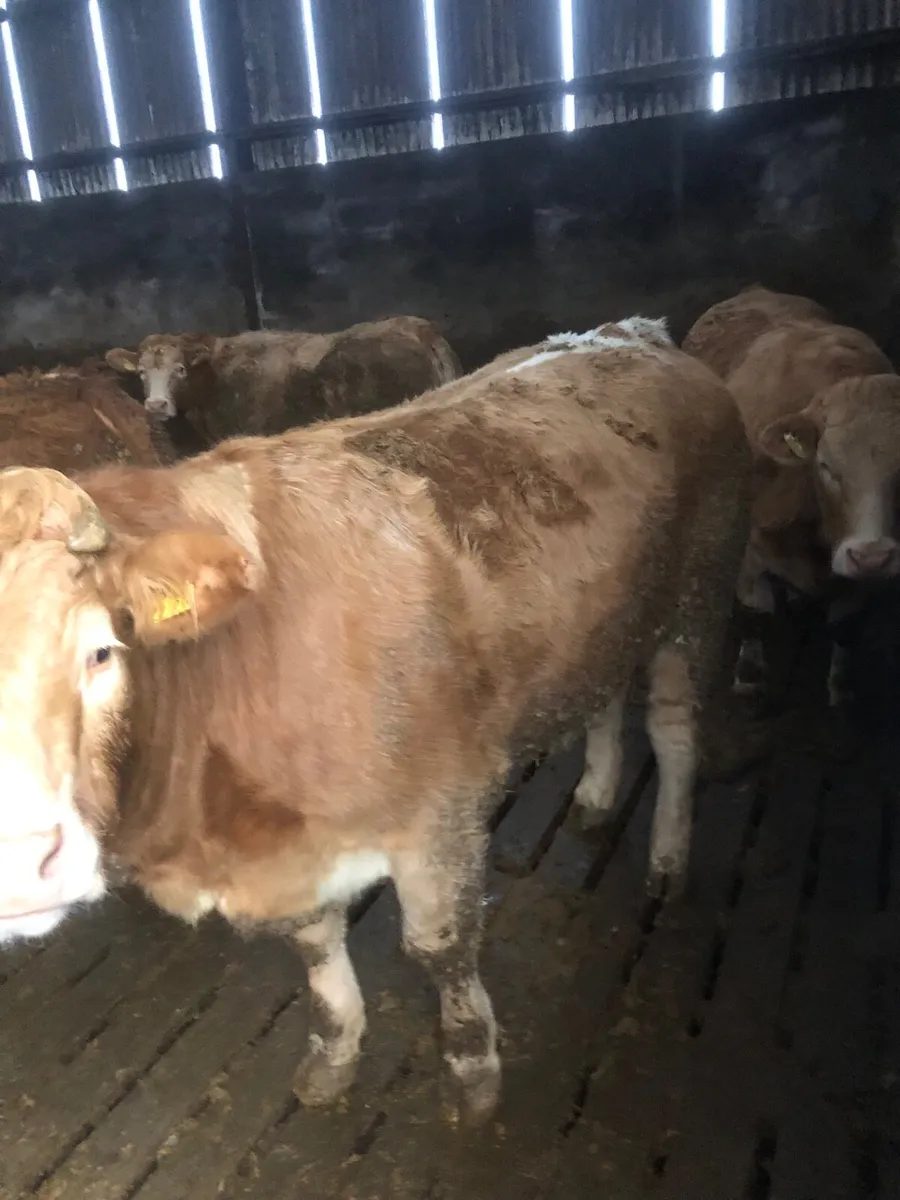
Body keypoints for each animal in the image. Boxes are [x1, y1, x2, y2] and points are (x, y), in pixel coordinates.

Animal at [682, 285, 900, 706]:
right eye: (826, 465)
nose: (871, 556)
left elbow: (847, 626)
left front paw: (842, 687)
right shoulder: (750, 550)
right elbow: (755, 615)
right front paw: (749, 677)